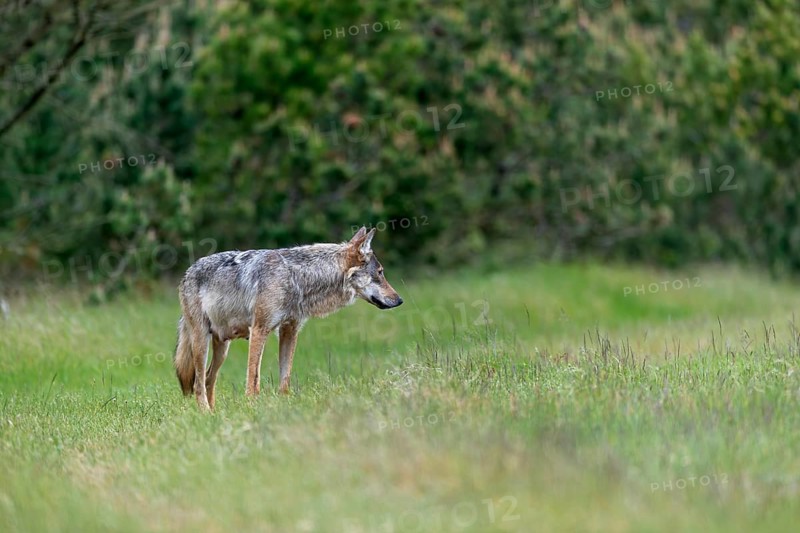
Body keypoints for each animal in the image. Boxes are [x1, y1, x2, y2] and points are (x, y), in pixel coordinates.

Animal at [173, 227, 403, 410]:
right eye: (380, 273)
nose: (400, 300)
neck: (296, 278)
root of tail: (188, 271)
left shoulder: (290, 331)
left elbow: (285, 378)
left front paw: (283, 407)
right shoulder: (259, 330)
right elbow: (253, 379)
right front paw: (252, 408)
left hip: (222, 347)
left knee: (209, 379)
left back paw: (215, 415)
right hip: (201, 341)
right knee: (198, 384)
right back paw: (205, 414)